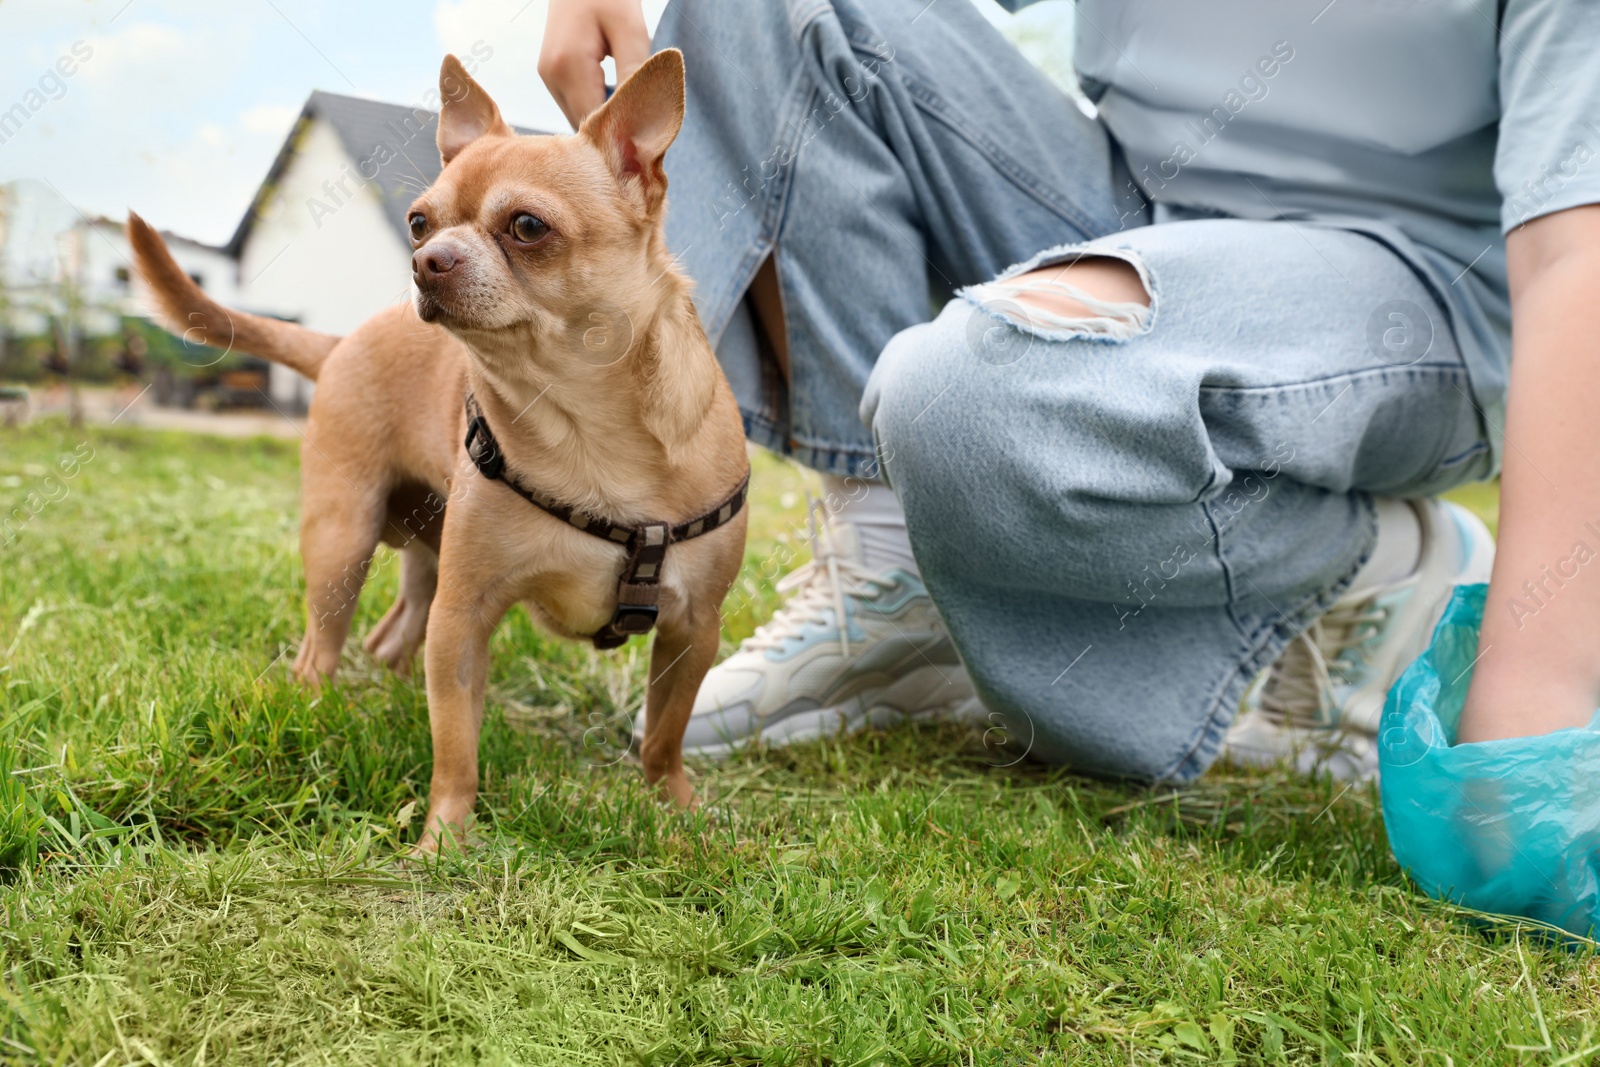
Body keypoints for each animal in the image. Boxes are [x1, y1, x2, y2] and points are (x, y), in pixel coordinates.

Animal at [126, 49, 748, 844]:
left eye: (527, 226)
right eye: (419, 221)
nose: (426, 259)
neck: (584, 423)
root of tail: (339, 340)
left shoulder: (694, 629)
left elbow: (665, 733)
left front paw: (677, 808)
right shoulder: (464, 616)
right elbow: (457, 743)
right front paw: (444, 837)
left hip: (422, 555)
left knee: (392, 640)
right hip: (342, 542)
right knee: (321, 647)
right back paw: (316, 709)